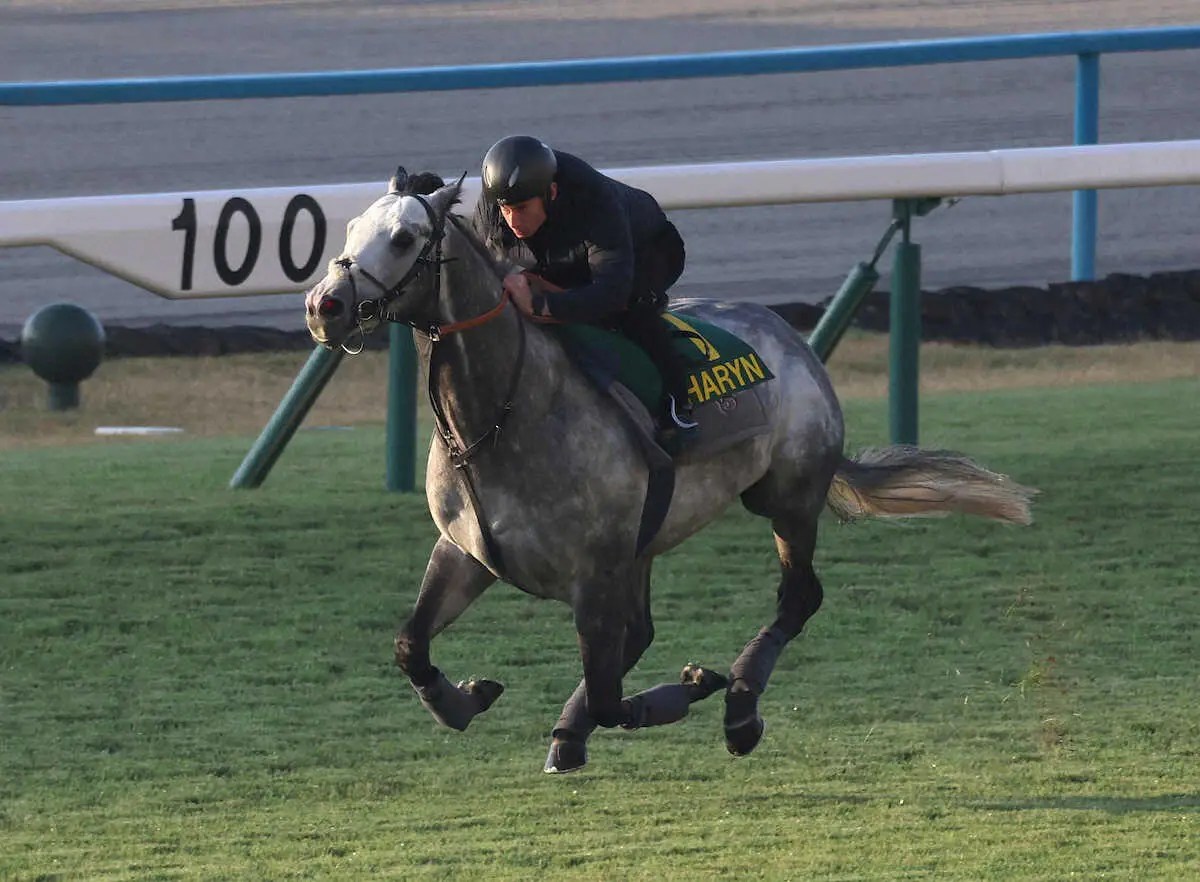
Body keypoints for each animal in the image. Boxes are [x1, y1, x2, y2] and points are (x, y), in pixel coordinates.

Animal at [300, 170, 1032, 772]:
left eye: (403, 238)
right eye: (351, 228)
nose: (323, 306)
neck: (503, 418)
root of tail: (795, 342)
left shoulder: (594, 571)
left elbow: (611, 695)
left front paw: (691, 688)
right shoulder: (467, 551)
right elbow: (410, 644)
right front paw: (465, 700)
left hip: (788, 496)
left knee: (798, 597)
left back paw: (738, 708)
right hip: (649, 541)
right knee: (646, 632)